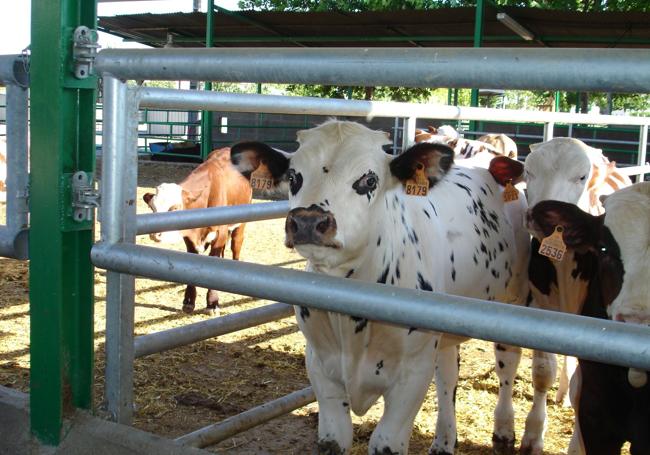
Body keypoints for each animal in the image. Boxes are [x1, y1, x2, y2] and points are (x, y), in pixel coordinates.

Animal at [143, 148, 252, 316]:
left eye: (175, 208)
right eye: (152, 207)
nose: (155, 234)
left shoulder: (219, 234)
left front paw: (212, 303)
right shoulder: (190, 237)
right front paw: (189, 301)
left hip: (240, 223)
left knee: (236, 244)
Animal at [230, 119, 528, 454]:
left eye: (369, 179)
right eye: (294, 177)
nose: (307, 221)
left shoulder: (411, 376)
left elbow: (386, 442)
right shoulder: (320, 367)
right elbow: (334, 439)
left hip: (514, 301)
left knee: (507, 365)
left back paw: (504, 431)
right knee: (448, 374)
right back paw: (443, 440)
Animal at [520, 137, 632, 454]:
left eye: (581, 177)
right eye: (528, 171)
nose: (536, 217)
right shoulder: (538, 306)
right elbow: (543, 371)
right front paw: (533, 434)